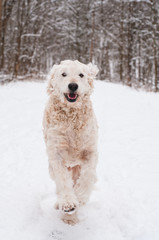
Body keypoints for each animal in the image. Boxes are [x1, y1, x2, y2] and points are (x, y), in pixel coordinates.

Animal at [42, 60, 99, 225]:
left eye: (81, 74)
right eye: (63, 74)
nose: (73, 85)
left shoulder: (90, 150)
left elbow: (88, 176)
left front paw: (80, 197)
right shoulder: (56, 153)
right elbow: (62, 180)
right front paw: (68, 203)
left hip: (76, 167)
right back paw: (65, 211)